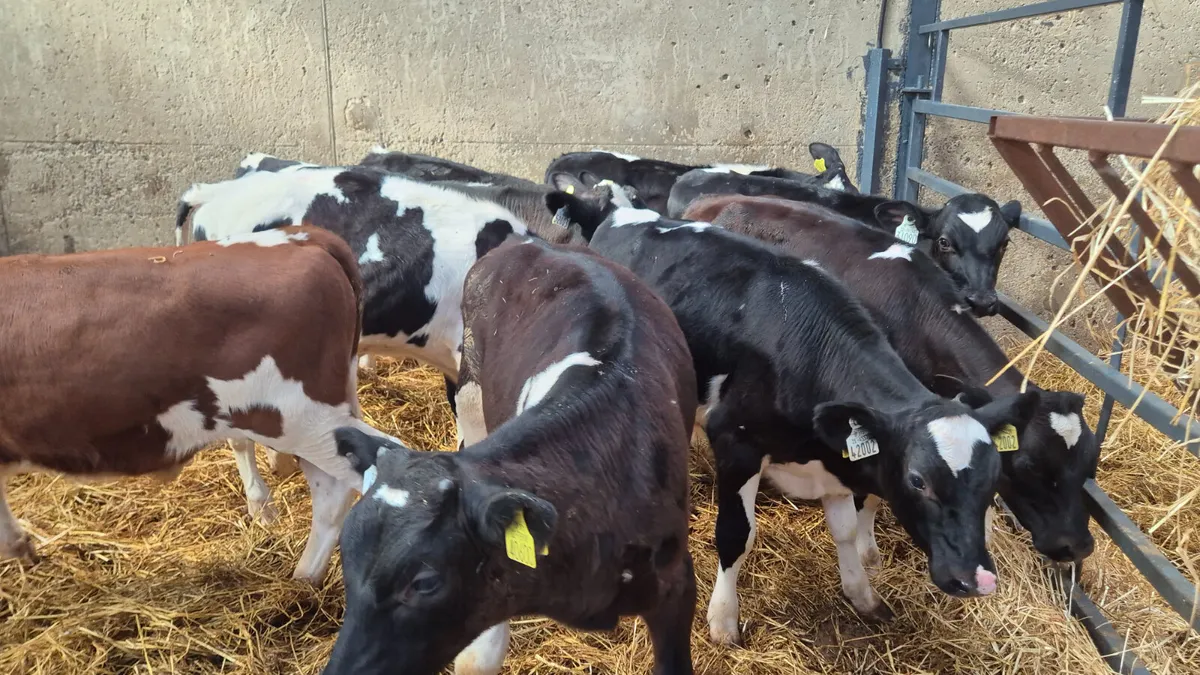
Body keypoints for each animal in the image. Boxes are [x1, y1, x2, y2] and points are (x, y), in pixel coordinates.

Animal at [580, 203, 1039, 645]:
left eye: (995, 480)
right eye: (917, 480)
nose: (978, 579)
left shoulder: (837, 459)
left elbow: (847, 531)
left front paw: (862, 594)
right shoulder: (735, 442)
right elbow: (735, 535)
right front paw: (723, 621)